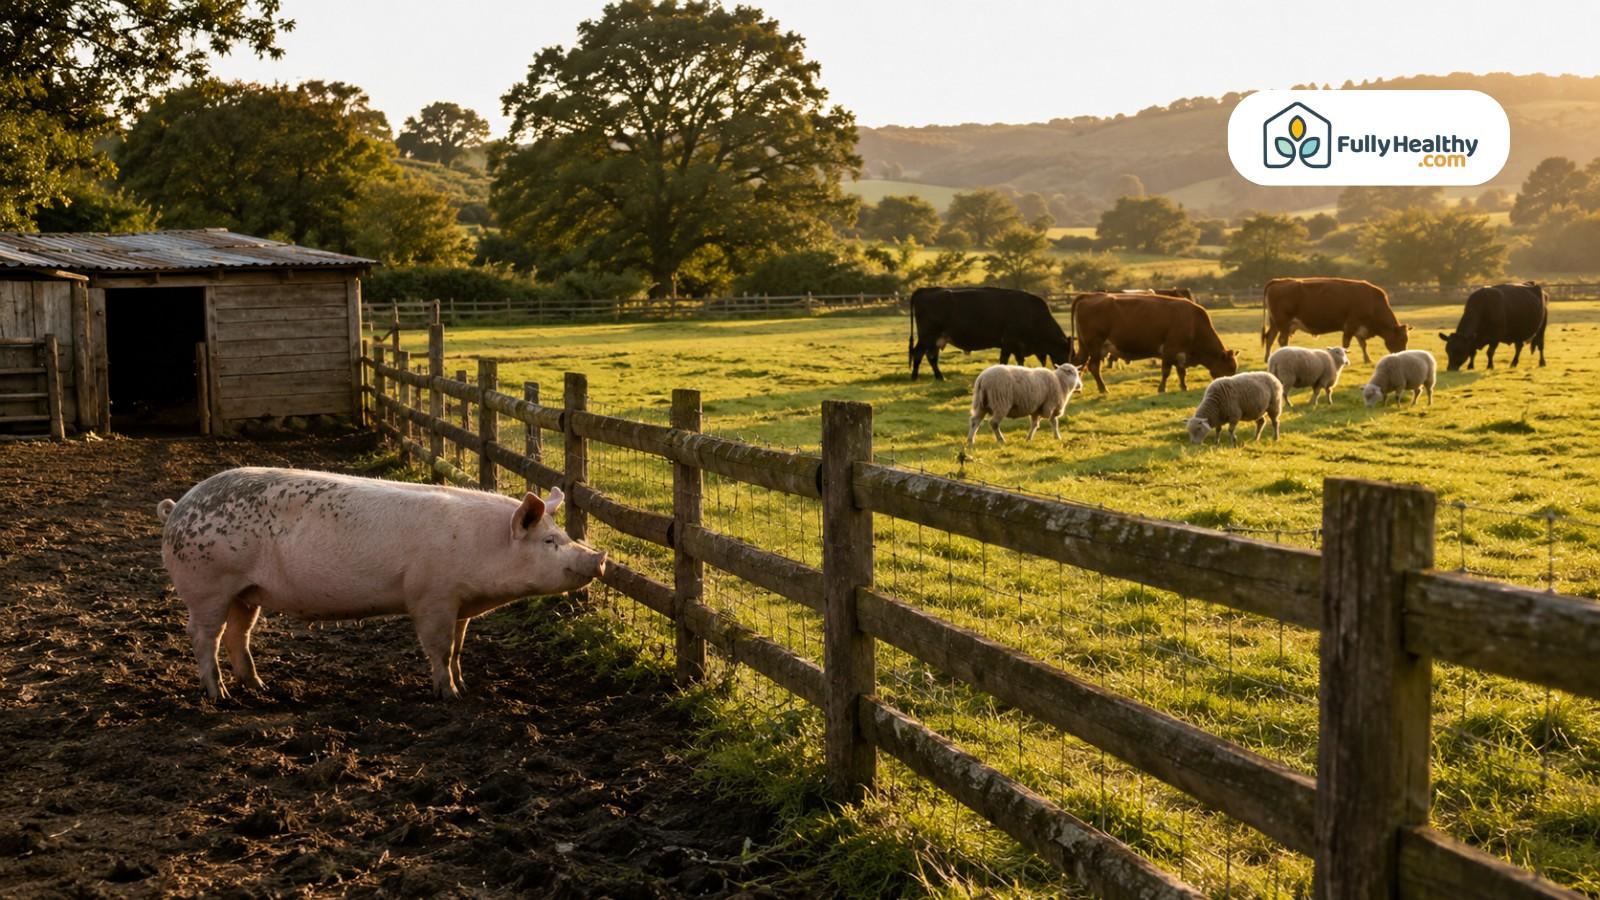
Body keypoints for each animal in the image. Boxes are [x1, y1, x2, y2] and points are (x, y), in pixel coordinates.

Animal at [156, 467, 606, 701]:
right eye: (549, 542)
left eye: (563, 535)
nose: (599, 557)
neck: (483, 546)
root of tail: (177, 508)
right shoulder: (430, 597)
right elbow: (440, 649)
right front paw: (451, 696)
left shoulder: (460, 604)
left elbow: (459, 647)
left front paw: (465, 684)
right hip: (207, 586)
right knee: (203, 636)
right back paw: (220, 696)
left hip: (245, 593)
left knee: (238, 635)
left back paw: (261, 687)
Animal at [908, 286, 1073, 381]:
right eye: (1066, 353)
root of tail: (926, 290)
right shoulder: (1009, 342)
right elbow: (1004, 360)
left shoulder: (1017, 346)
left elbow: (1019, 361)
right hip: (927, 336)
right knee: (918, 353)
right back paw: (915, 376)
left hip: (936, 338)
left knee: (931, 356)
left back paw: (939, 376)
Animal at [1070, 292, 1239, 393]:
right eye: (1230, 368)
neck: (1193, 323)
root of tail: (1090, 295)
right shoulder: (1170, 350)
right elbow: (1166, 371)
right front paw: (1162, 388)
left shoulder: (1180, 354)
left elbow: (1181, 372)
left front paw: (1183, 386)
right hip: (1095, 346)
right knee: (1093, 367)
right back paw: (1103, 388)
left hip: (1085, 347)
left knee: (1077, 363)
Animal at [1261, 277, 1410, 363]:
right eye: (1402, 339)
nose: (1403, 356)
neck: (1373, 303)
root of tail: (1278, 281)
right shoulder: (1350, 324)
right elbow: (1346, 344)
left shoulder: (1359, 328)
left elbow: (1363, 344)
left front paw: (1367, 359)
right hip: (1283, 323)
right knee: (1282, 340)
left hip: (1275, 323)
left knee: (1270, 338)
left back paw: (1267, 358)